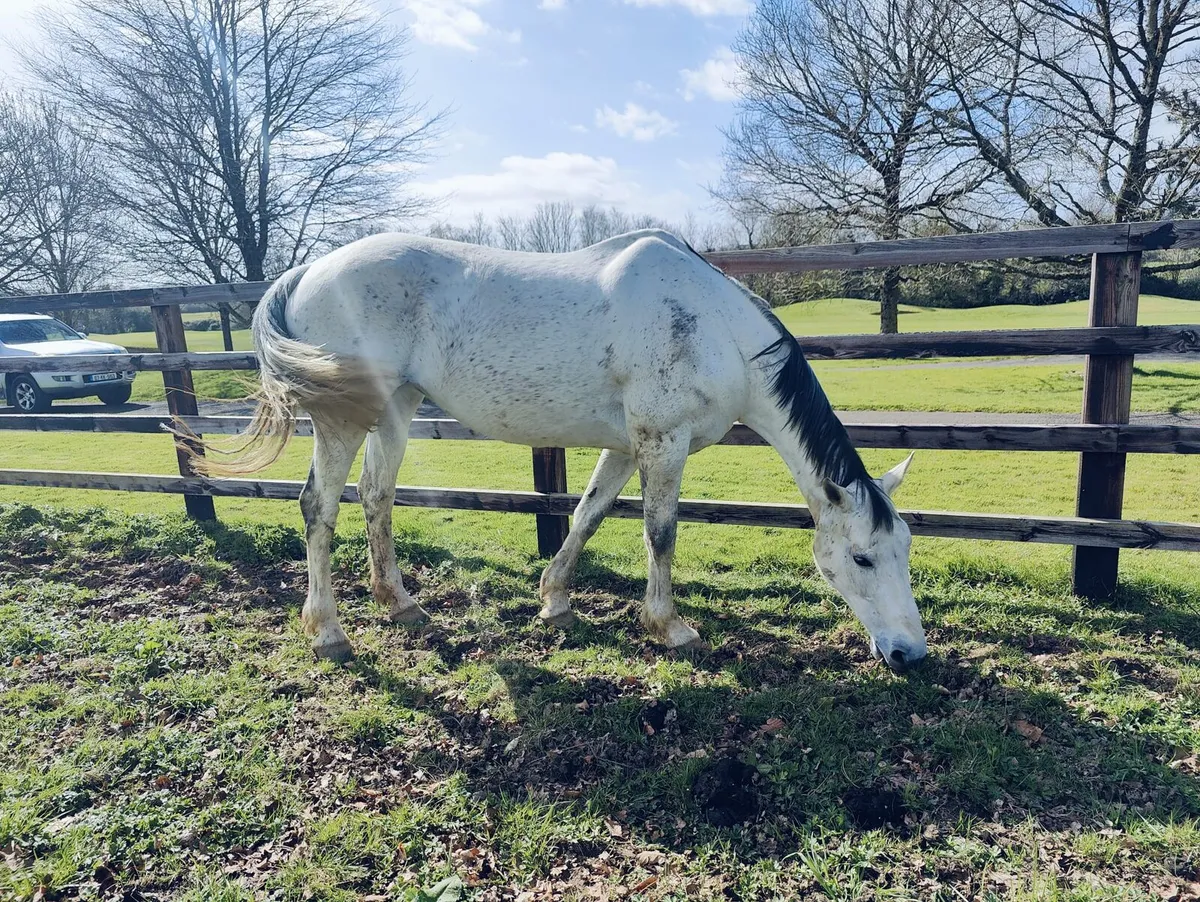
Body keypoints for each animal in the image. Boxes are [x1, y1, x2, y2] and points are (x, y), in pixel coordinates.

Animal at [192, 229, 926, 671]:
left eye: (905, 550)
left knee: (376, 497)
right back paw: (327, 631)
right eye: (861, 557)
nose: (910, 654)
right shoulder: (664, 443)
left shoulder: (629, 446)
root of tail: (307, 270)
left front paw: (555, 600)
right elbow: (661, 533)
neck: (713, 325)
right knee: (317, 507)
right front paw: (670, 626)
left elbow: (587, 515)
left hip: (393, 408)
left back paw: (399, 603)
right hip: (341, 419)